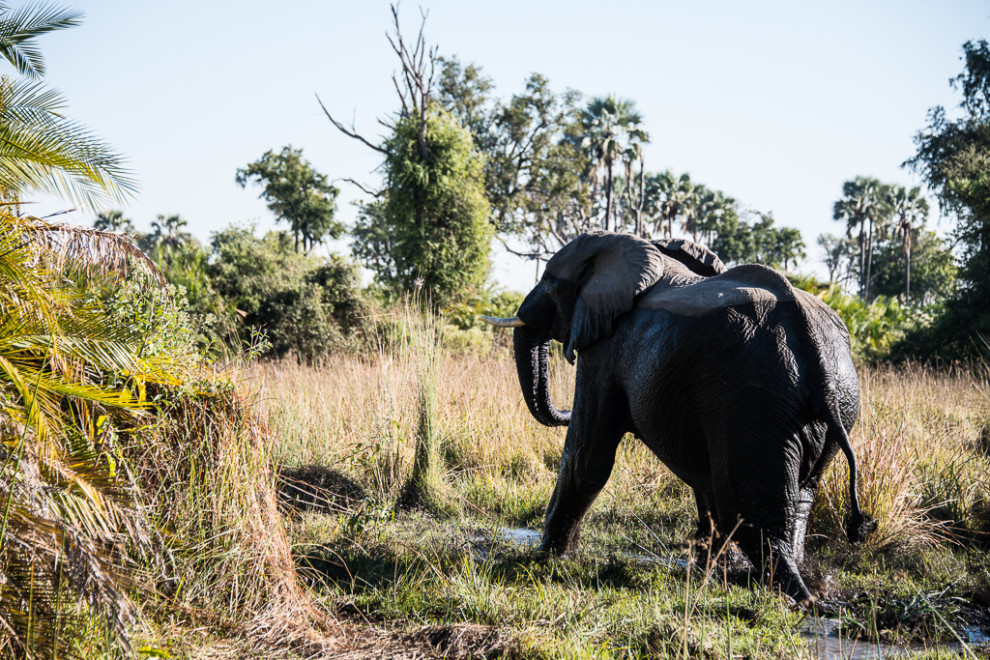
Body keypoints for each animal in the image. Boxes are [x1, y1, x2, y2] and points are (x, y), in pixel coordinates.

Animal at [480, 232, 876, 604]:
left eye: (549, 280)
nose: (563, 409)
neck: (642, 250)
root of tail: (814, 348)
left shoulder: (606, 350)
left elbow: (586, 459)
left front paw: (547, 558)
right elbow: (703, 479)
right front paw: (711, 569)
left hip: (755, 402)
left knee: (747, 509)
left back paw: (797, 596)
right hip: (834, 406)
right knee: (799, 497)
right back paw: (789, 586)